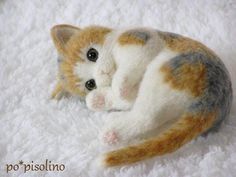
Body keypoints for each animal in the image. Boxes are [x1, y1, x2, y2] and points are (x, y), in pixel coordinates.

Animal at [49, 24, 232, 167]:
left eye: (92, 54)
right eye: (90, 84)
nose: (103, 72)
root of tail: (213, 99)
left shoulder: (140, 39)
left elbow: (127, 69)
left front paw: (118, 87)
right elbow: (125, 98)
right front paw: (99, 98)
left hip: (168, 70)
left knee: (147, 117)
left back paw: (112, 126)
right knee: (150, 119)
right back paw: (112, 126)